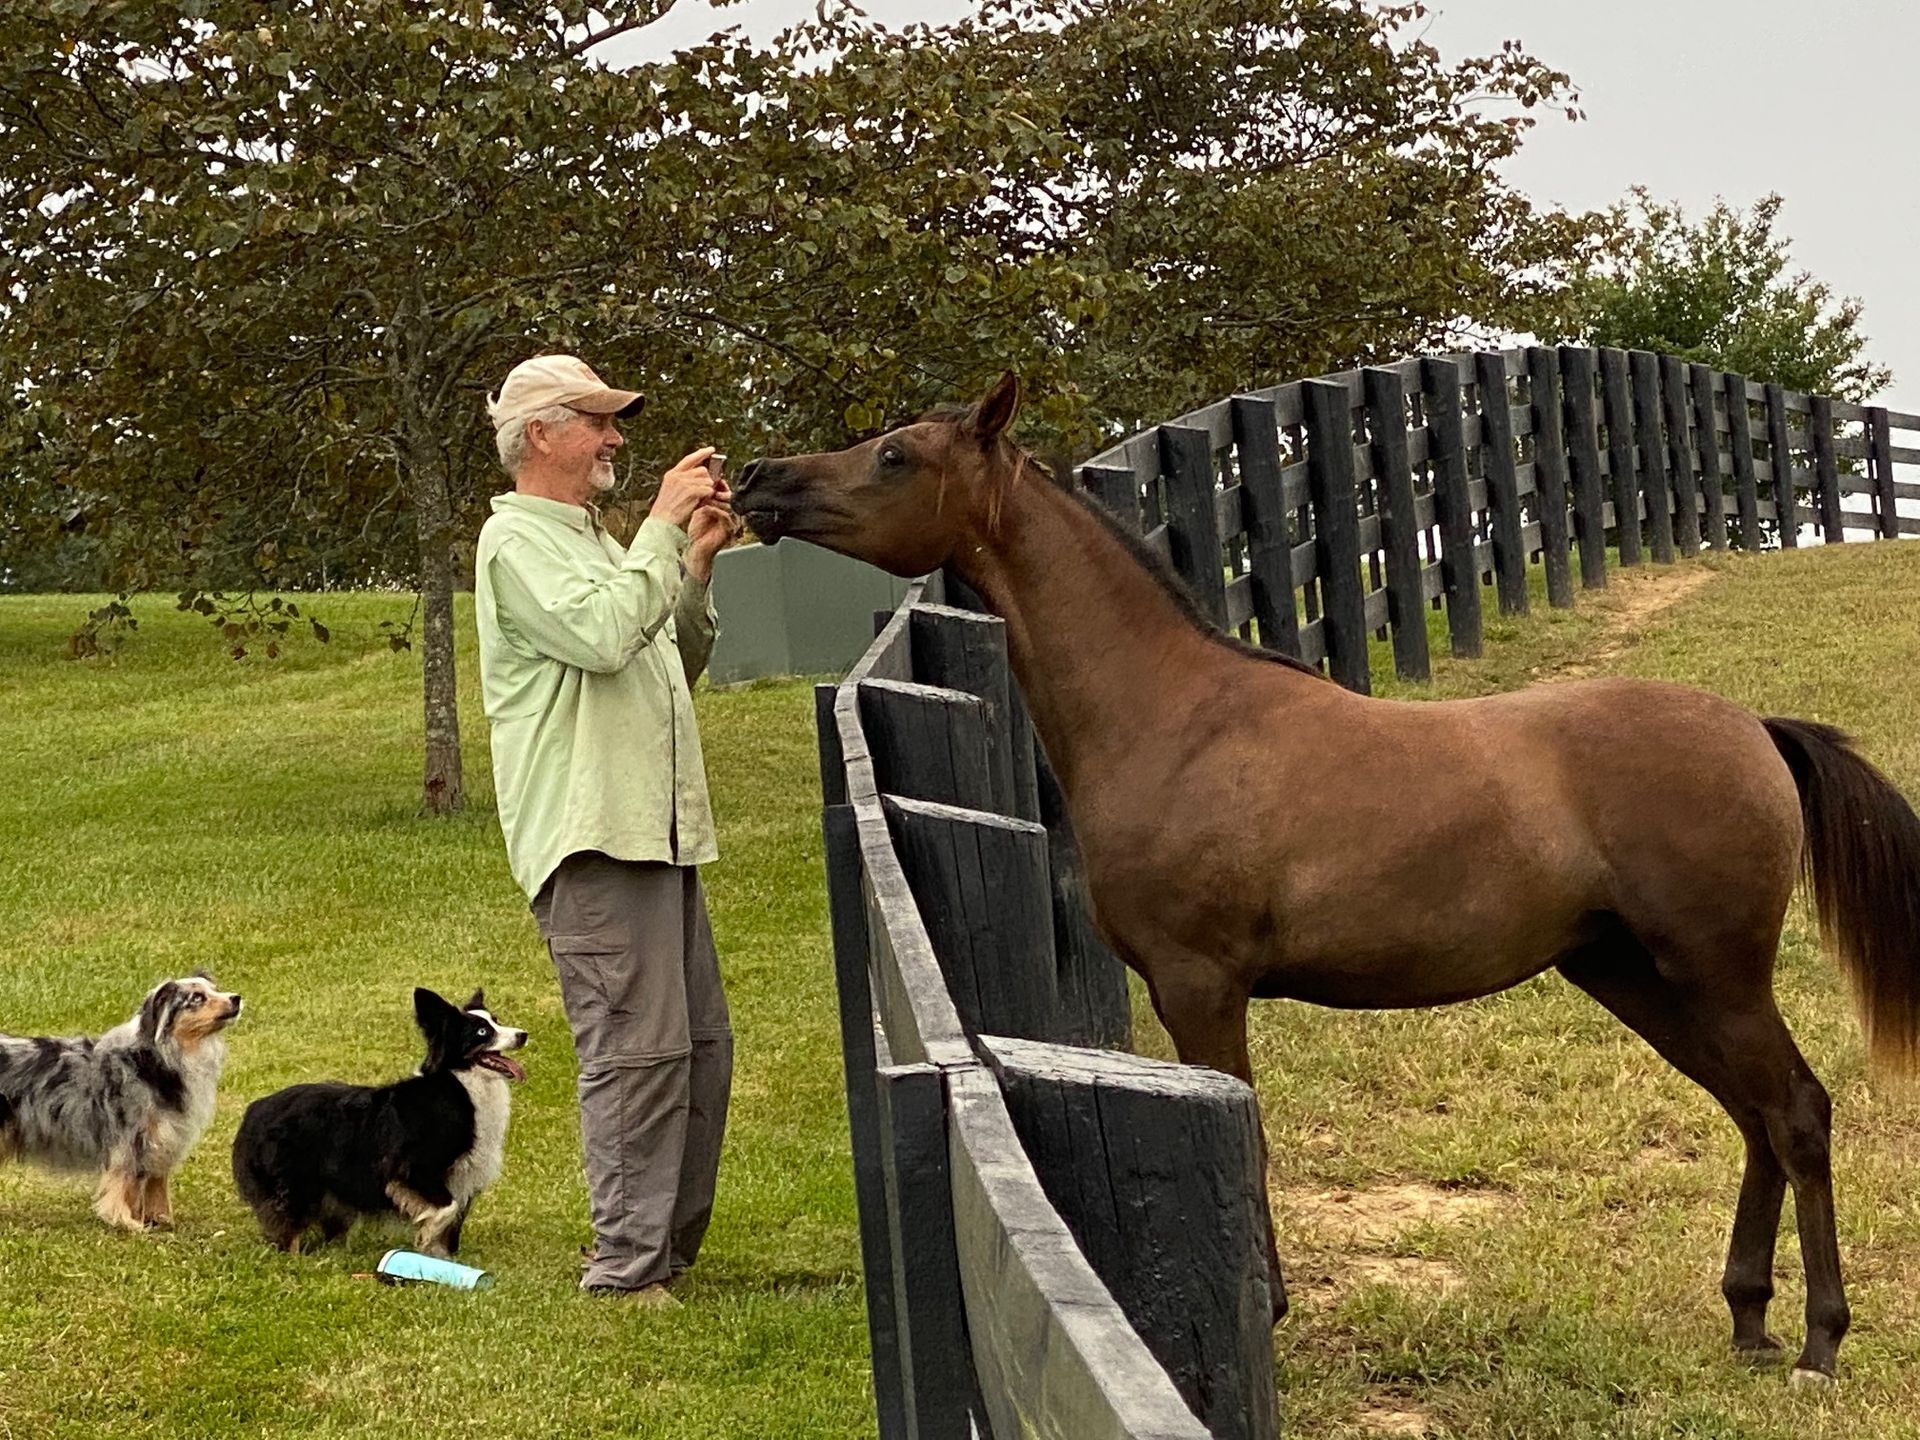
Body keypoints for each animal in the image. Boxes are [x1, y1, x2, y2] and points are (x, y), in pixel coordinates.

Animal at [0, 975, 247, 1236]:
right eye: (197, 997)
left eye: (215, 990)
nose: (236, 998)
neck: (157, 1060)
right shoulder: (131, 1141)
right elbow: (125, 1183)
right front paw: (126, 1221)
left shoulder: (162, 1141)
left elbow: (154, 1186)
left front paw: (160, 1219)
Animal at [235, 990, 529, 1259]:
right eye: (482, 1032)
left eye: (496, 1021)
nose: (523, 1034)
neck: (461, 1086)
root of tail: (254, 1110)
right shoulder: (412, 1167)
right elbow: (447, 1209)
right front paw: (426, 1239)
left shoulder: (464, 1176)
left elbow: (453, 1220)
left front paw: (441, 1260)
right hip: (297, 1183)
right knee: (288, 1224)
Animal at [733, 374, 1920, 1390]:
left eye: (895, 455)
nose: (755, 479)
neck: (1175, 718)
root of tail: (1756, 731)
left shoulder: (1200, 988)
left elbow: (1248, 1132)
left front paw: (1267, 1311)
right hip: (1637, 977)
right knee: (1751, 1115)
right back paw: (1749, 1319)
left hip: (1715, 975)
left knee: (1796, 1112)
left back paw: (1818, 1343)